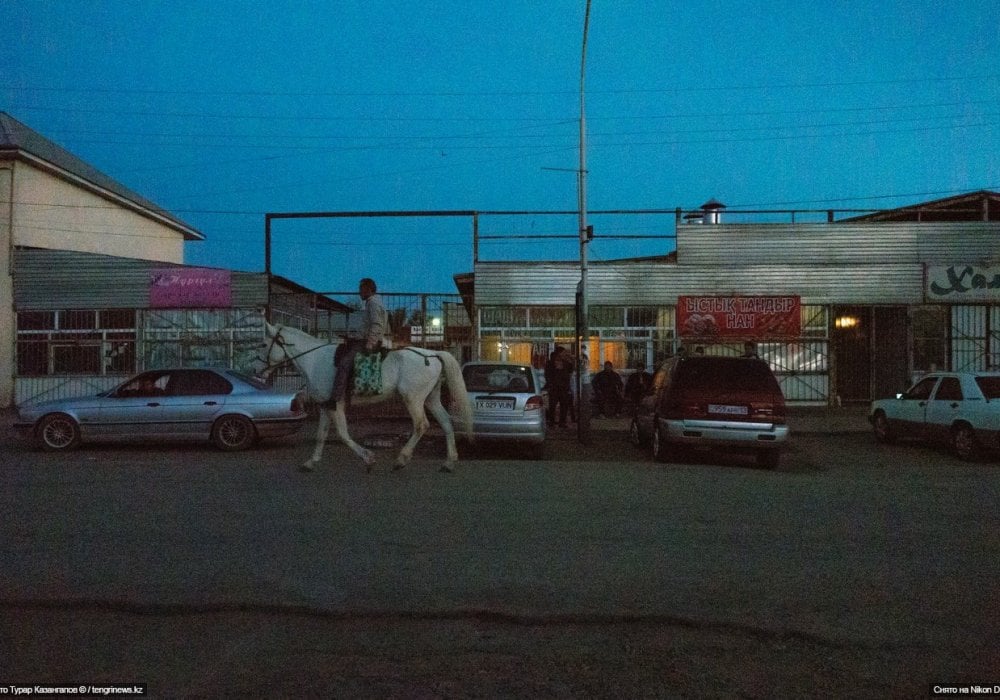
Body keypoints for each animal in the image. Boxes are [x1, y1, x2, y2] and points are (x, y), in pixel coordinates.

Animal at [262, 326, 472, 474]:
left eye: (263, 345)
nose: (258, 370)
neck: (315, 360)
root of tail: (433, 354)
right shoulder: (325, 405)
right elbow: (321, 434)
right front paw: (310, 462)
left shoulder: (336, 405)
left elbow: (343, 434)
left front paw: (368, 458)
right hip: (431, 399)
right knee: (446, 422)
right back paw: (449, 462)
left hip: (413, 399)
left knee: (421, 425)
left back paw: (401, 459)